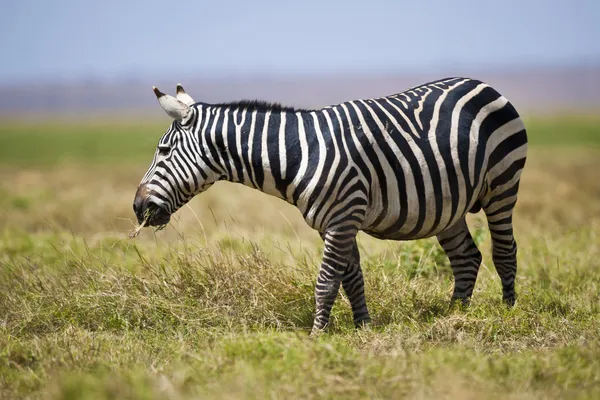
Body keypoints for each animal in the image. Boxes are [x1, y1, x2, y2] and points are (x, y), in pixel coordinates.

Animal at [134, 78, 528, 334]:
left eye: (164, 150)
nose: (138, 208)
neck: (297, 154)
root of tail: (481, 83)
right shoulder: (336, 221)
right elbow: (351, 278)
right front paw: (363, 328)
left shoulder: (342, 216)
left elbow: (326, 280)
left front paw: (316, 336)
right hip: (448, 205)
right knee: (466, 258)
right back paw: (454, 316)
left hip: (503, 184)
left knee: (504, 250)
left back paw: (508, 314)